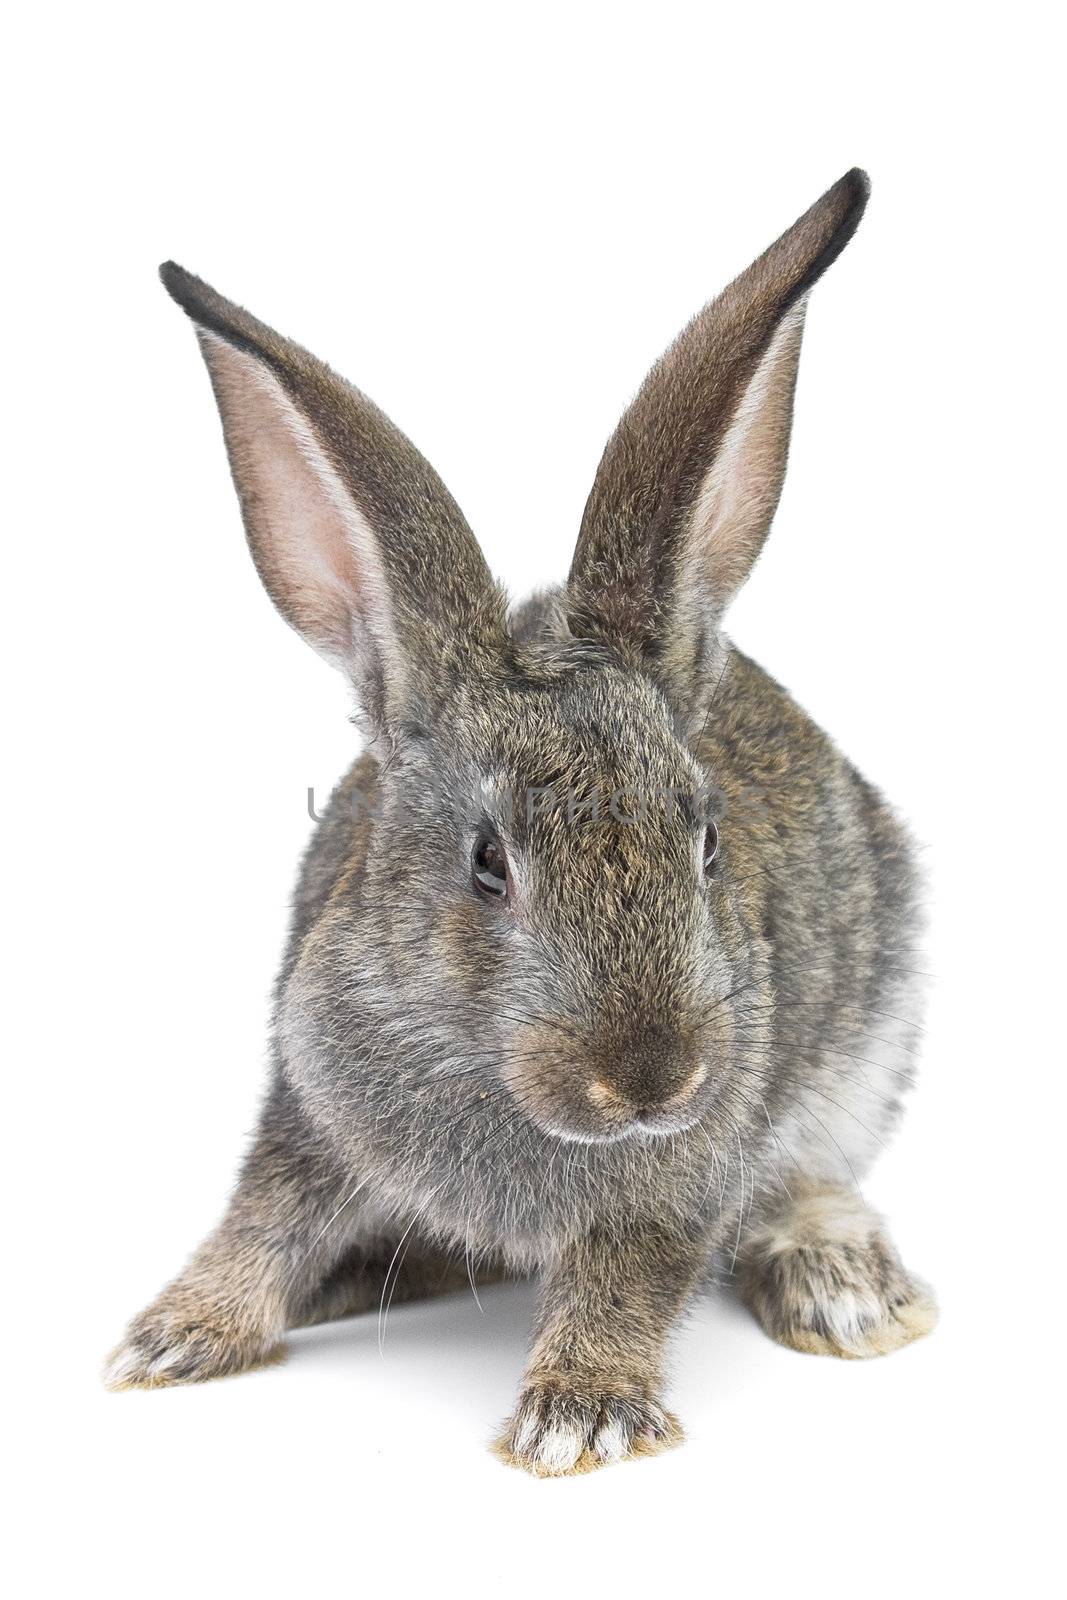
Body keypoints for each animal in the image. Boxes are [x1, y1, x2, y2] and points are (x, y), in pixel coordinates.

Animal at [102, 172, 934, 1472]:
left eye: (704, 843)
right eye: (487, 863)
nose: (651, 1080)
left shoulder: (671, 1190)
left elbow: (628, 1276)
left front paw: (576, 1415)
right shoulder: (308, 1118)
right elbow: (262, 1218)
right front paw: (176, 1337)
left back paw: (842, 1284)